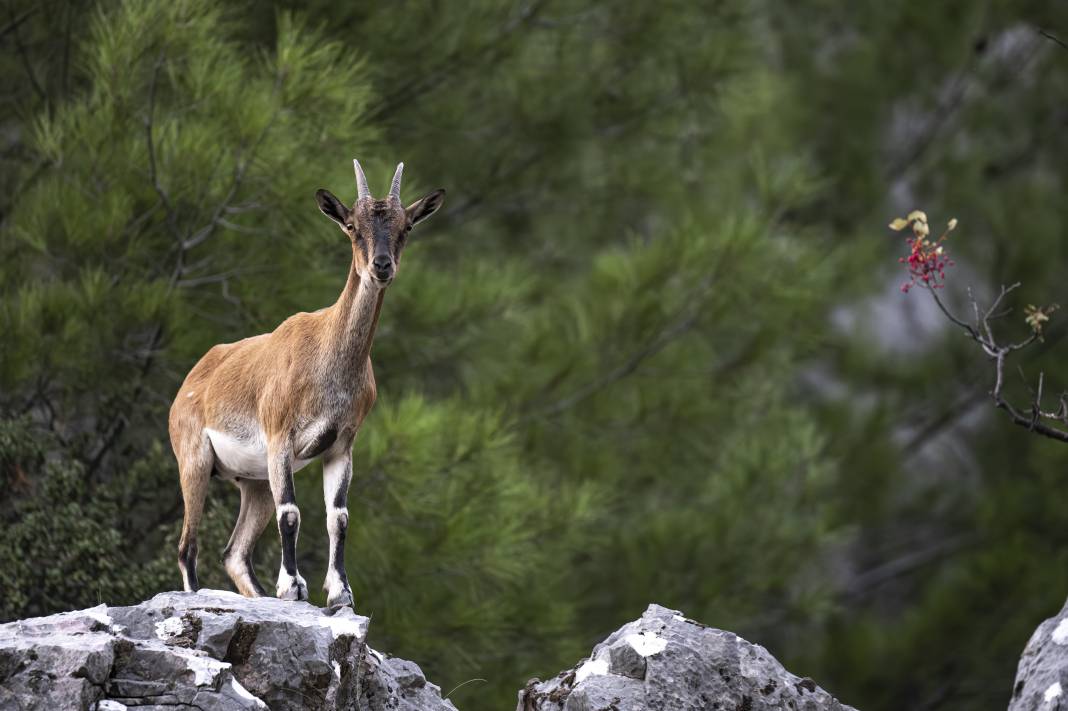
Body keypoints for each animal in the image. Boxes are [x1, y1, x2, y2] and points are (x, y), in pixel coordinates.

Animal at [168, 159, 444, 602]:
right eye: (351, 226)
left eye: (406, 227)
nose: (382, 266)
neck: (327, 362)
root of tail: (191, 382)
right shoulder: (280, 434)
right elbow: (292, 513)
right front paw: (294, 586)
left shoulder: (342, 445)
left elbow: (339, 516)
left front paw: (340, 592)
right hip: (193, 460)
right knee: (187, 546)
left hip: (253, 482)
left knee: (234, 552)